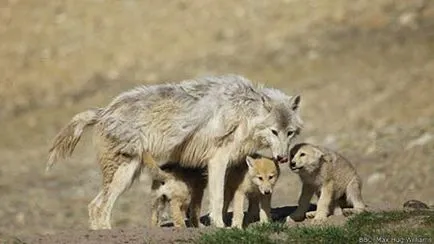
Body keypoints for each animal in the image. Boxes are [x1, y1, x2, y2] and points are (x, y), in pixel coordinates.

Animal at [45, 74, 300, 229]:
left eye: (290, 133)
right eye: (274, 131)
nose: (282, 158)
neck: (244, 110)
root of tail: (103, 111)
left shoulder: (232, 164)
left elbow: (225, 198)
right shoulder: (217, 160)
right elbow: (217, 198)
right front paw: (220, 226)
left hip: (127, 175)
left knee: (93, 205)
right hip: (123, 176)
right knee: (101, 206)